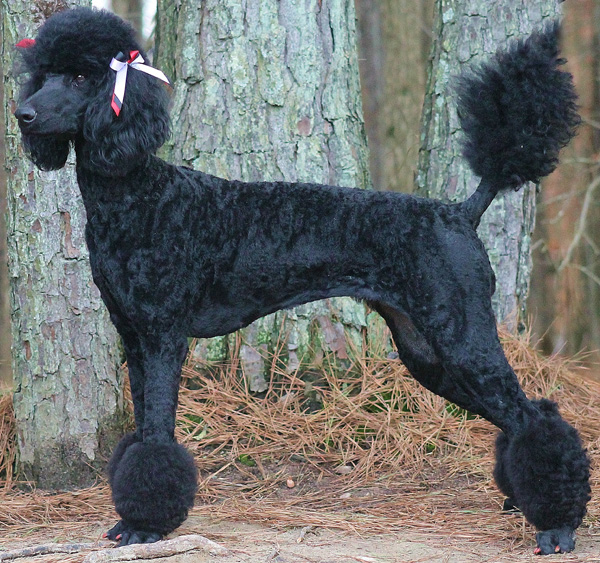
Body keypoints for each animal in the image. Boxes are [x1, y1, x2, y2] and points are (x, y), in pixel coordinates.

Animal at [14, 7, 590, 554]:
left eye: (82, 76)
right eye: (42, 74)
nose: (24, 113)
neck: (136, 196)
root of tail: (460, 212)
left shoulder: (161, 336)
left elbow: (155, 437)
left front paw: (143, 524)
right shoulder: (132, 336)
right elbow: (139, 431)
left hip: (463, 337)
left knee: (534, 420)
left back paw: (557, 527)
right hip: (429, 352)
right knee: (525, 417)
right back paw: (524, 504)